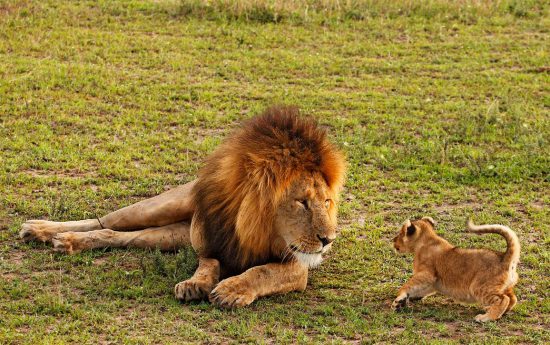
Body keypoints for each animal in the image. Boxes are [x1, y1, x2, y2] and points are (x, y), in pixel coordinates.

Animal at [19, 106, 348, 308]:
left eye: (326, 202)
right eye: (301, 202)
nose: (328, 240)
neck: (256, 226)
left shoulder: (297, 266)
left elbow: (262, 271)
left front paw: (231, 290)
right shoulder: (208, 241)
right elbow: (209, 263)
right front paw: (195, 284)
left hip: (168, 236)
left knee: (118, 236)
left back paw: (66, 241)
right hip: (161, 207)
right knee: (105, 221)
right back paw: (44, 231)